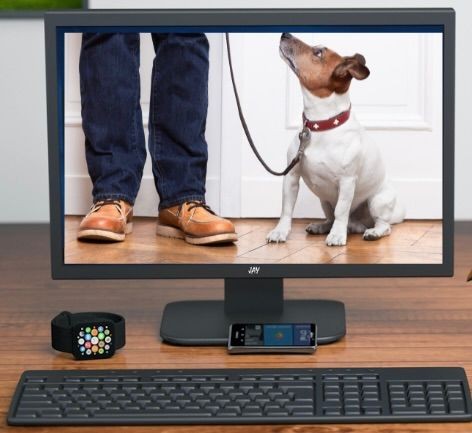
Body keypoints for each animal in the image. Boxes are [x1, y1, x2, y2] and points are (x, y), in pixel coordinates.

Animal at [268, 33, 404, 246]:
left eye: (318, 52)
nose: (285, 34)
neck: (321, 125)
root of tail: (359, 223)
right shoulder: (291, 177)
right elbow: (286, 209)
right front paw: (280, 231)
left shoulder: (347, 182)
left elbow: (341, 210)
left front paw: (337, 235)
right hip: (324, 201)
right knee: (332, 217)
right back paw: (323, 226)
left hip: (377, 202)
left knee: (383, 225)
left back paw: (370, 231)